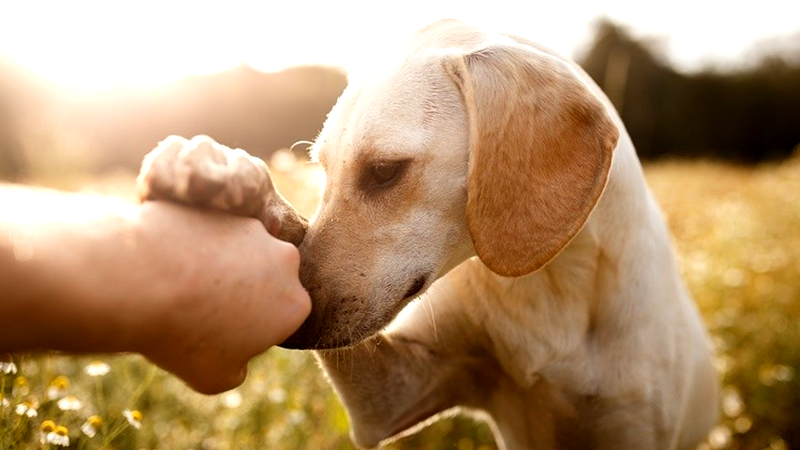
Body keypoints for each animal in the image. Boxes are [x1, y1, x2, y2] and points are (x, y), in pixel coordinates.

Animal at [139, 19, 720, 450]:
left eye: (384, 171)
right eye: (322, 169)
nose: (296, 328)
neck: (547, 285)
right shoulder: (393, 397)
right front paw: (223, 173)